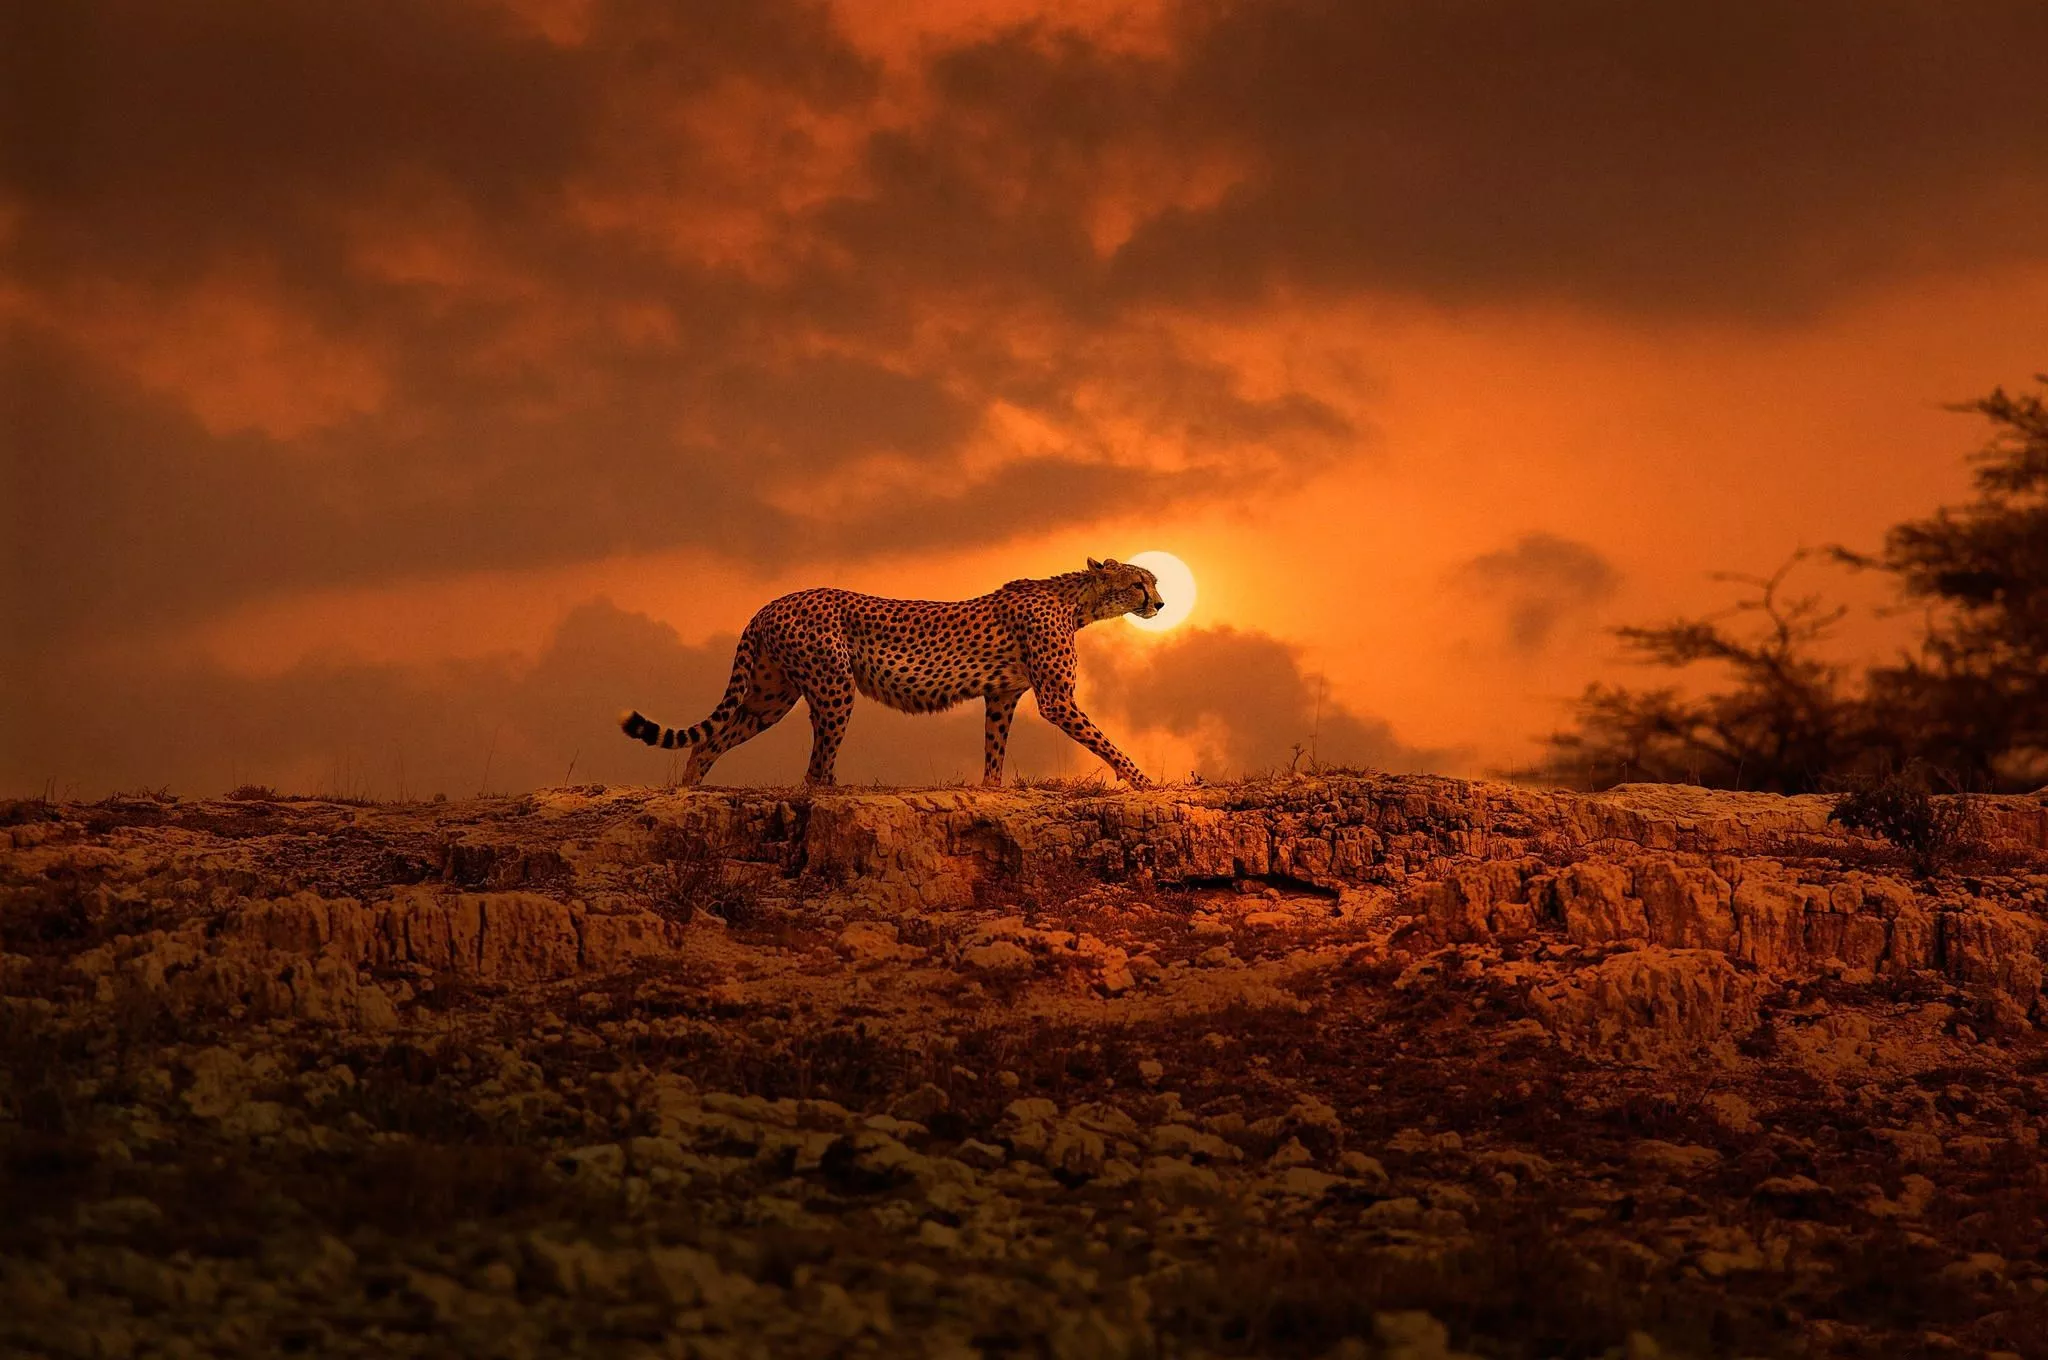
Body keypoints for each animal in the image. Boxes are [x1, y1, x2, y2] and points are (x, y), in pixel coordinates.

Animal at [620, 557, 1164, 787]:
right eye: (1140, 582)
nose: (1160, 603)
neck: (1077, 601)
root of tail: (771, 603)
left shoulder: (1002, 696)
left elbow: (995, 748)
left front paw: (991, 788)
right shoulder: (1056, 699)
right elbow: (1104, 741)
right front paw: (1142, 780)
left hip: (769, 698)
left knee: (710, 741)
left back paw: (687, 792)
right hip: (833, 687)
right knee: (814, 768)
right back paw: (835, 789)